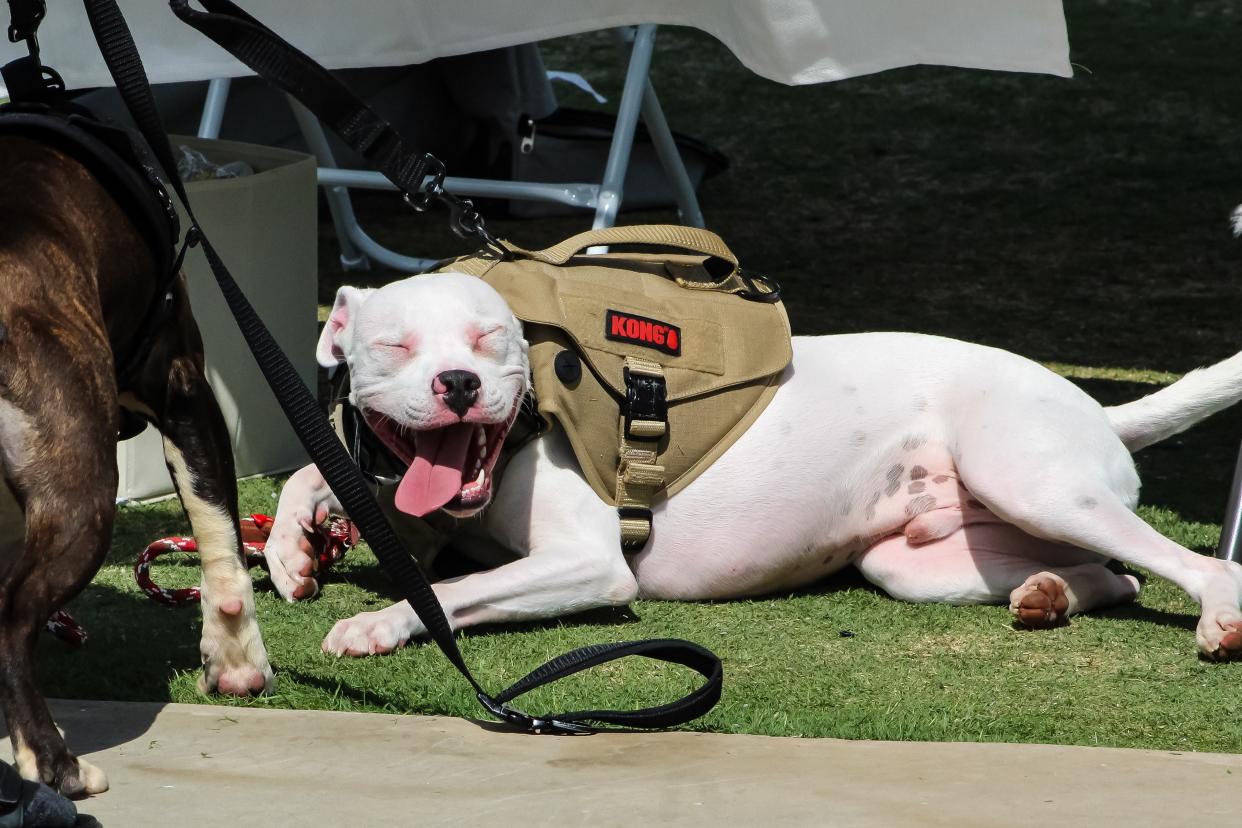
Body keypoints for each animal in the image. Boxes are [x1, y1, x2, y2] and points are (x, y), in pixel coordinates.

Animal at [0, 132, 270, 799]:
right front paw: (237, 657)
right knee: (12, 615)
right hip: (84, 497)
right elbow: (219, 528)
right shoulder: (186, 389)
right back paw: (54, 763)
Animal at [259, 271, 1242, 660]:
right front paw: (295, 547)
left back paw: (1214, 619)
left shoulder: (588, 563)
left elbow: (452, 592)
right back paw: (1047, 596)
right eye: (395, 346)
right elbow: (318, 479)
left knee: (1197, 564)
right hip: (918, 560)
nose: (458, 384)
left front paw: (378, 623)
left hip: (1033, 479)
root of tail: (1097, 407)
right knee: (1114, 577)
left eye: (487, 339)